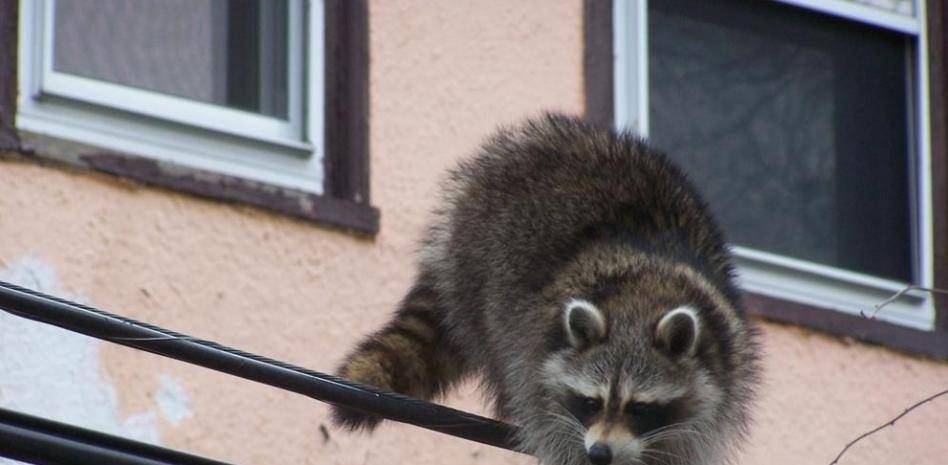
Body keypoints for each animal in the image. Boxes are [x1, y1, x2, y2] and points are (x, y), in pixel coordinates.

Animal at [330, 113, 760, 464]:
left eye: (639, 407)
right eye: (590, 402)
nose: (599, 453)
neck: (640, 300)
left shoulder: (727, 364)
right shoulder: (535, 359)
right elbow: (547, 417)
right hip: (478, 265)